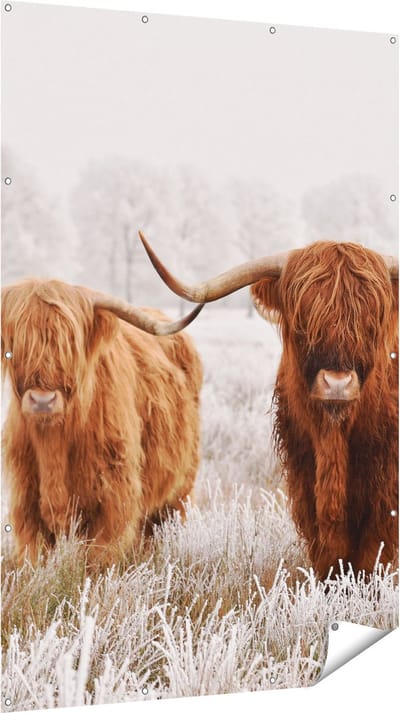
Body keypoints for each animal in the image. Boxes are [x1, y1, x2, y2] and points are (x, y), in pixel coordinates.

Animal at [1, 279, 203, 566]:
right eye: (16, 341)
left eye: (71, 342)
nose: (42, 400)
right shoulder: (25, 502)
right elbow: (35, 557)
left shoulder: (114, 499)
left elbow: (97, 559)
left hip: (180, 488)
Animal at [138, 232, 399, 578]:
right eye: (303, 320)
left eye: (372, 321)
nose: (337, 383)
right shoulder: (305, 479)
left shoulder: (384, 492)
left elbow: (374, 555)